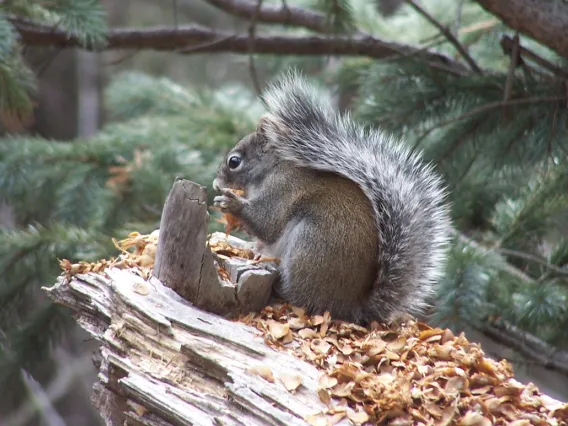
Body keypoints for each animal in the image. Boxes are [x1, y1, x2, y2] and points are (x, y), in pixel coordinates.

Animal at [213, 71, 452, 324]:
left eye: (234, 161)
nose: (216, 185)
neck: (273, 168)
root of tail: (351, 307)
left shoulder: (283, 189)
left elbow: (268, 222)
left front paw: (232, 204)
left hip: (310, 246)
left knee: (302, 298)